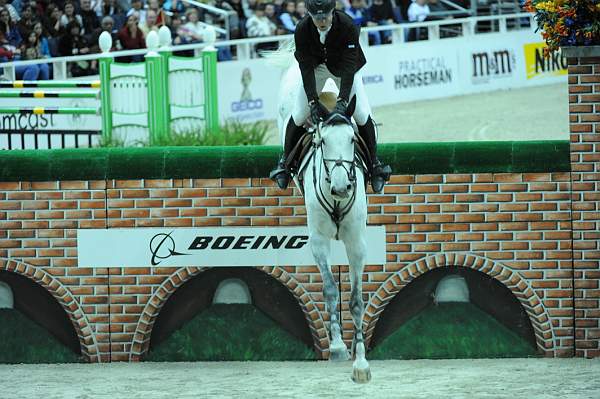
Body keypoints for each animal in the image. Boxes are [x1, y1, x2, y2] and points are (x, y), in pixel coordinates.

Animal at [266, 43, 370, 384]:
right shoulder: (319, 241)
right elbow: (329, 290)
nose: (340, 188)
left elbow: (356, 300)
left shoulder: (356, 242)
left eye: (352, 139)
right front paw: (337, 347)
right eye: (322, 141)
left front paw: (361, 364)